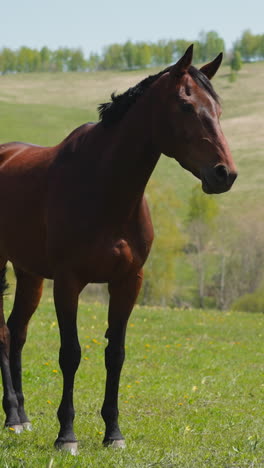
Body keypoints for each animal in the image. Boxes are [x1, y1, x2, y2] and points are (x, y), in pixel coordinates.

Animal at [0, 46, 237, 454]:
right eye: (186, 106)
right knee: (2, 334)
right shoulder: (68, 282)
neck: (105, 186)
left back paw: (21, 418)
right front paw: (67, 435)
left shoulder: (128, 282)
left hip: (29, 273)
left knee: (16, 332)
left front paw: (113, 432)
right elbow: (71, 353)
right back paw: (13, 417)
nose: (225, 174)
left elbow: (116, 354)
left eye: (218, 109)